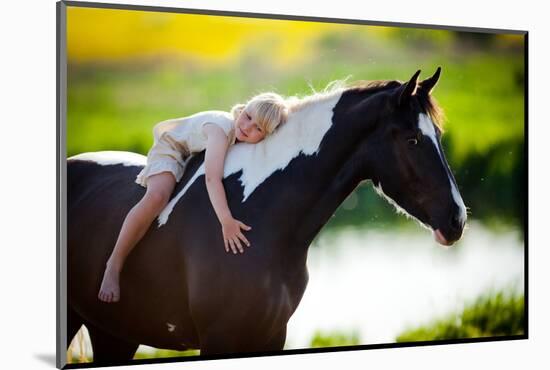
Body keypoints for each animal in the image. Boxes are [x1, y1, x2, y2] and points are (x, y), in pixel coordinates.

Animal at [67, 68, 468, 362]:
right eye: (413, 140)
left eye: (438, 134)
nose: (457, 219)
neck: (261, 218)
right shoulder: (218, 338)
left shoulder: (271, 336)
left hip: (114, 332)